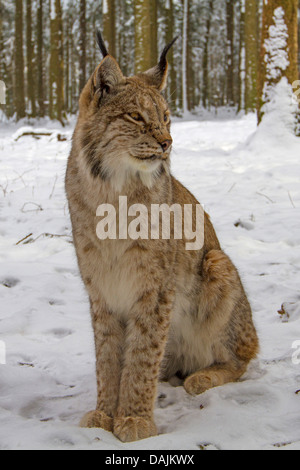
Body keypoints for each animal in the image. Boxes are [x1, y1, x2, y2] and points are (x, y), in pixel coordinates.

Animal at [65, 31, 258, 442]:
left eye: (167, 118)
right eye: (136, 117)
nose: (168, 143)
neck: (113, 191)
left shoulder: (155, 287)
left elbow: (141, 355)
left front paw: (134, 419)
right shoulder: (101, 287)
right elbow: (108, 356)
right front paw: (105, 414)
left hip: (217, 260)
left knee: (245, 354)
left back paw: (203, 377)